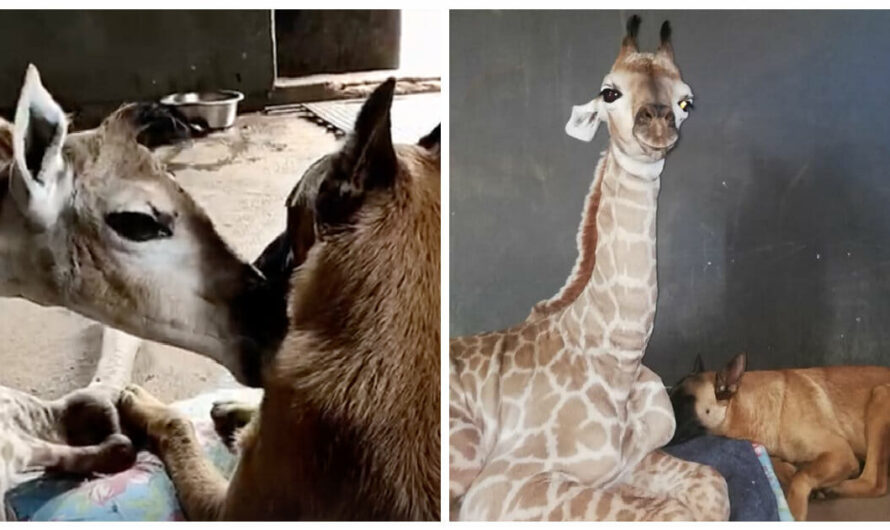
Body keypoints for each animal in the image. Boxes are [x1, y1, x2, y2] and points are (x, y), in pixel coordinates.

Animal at [115, 79, 440, 520]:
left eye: (289, 209)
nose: (256, 266)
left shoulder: (223, 510)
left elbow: (179, 426)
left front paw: (150, 407)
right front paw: (242, 409)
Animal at [450, 17, 728, 520]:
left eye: (686, 101)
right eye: (609, 92)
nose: (657, 122)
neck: (619, 363)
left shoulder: (631, 460)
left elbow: (712, 486)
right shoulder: (500, 485)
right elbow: (669, 512)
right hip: (463, 451)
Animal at [668, 352, 888, 516]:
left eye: (685, 403)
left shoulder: (841, 452)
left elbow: (800, 478)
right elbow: (782, 465)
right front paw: (789, 469)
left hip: (880, 396)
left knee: (875, 483)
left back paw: (833, 488)